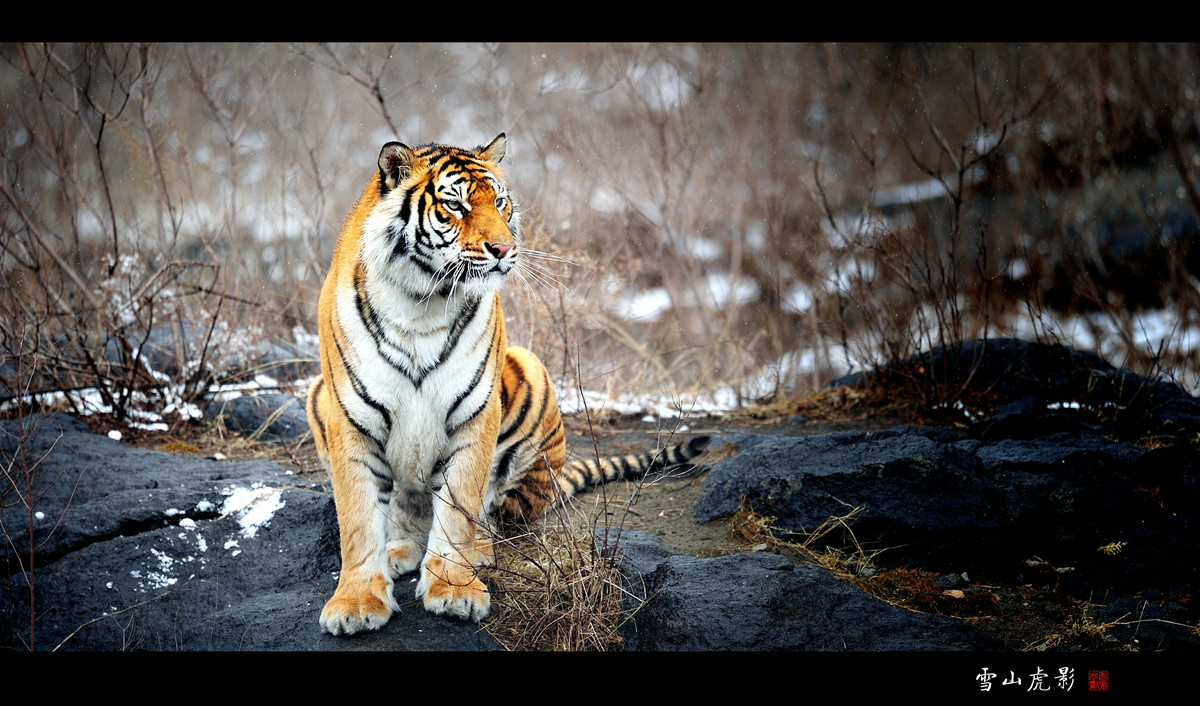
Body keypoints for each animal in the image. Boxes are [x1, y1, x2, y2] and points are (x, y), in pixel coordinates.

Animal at [304, 135, 710, 638]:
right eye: (454, 205)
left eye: (499, 202)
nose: (502, 248)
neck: (423, 301)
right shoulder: (350, 418)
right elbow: (358, 521)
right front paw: (357, 602)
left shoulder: (473, 414)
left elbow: (458, 509)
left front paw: (454, 589)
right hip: (317, 393)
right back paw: (400, 550)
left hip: (531, 375)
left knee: (499, 513)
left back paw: (477, 549)